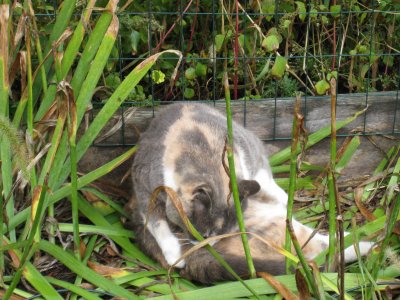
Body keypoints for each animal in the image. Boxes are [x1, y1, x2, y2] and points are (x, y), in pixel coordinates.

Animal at [129, 103, 376, 284]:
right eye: (206, 234)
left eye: (223, 234)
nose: (212, 247)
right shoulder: (145, 186)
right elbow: (156, 222)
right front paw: (173, 253)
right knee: (326, 249)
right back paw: (370, 246)